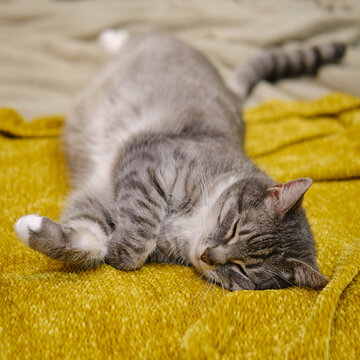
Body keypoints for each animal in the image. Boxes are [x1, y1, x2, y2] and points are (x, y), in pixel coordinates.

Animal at [14, 30, 346, 290]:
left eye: (243, 270)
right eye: (235, 227)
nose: (209, 256)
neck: (193, 223)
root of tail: (231, 92)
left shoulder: (103, 201)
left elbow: (92, 243)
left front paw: (31, 228)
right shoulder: (147, 162)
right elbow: (137, 236)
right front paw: (122, 251)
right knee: (135, 37)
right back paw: (111, 38)